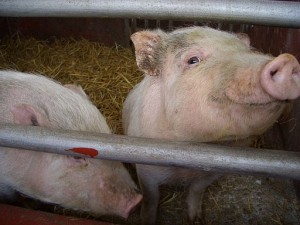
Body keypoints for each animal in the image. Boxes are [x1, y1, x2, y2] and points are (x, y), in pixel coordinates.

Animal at [122, 26, 300, 225]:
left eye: (247, 50)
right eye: (193, 60)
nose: (287, 60)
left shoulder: (212, 173)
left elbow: (197, 191)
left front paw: (196, 219)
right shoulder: (146, 169)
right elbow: (151, 197)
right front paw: (147, 219)